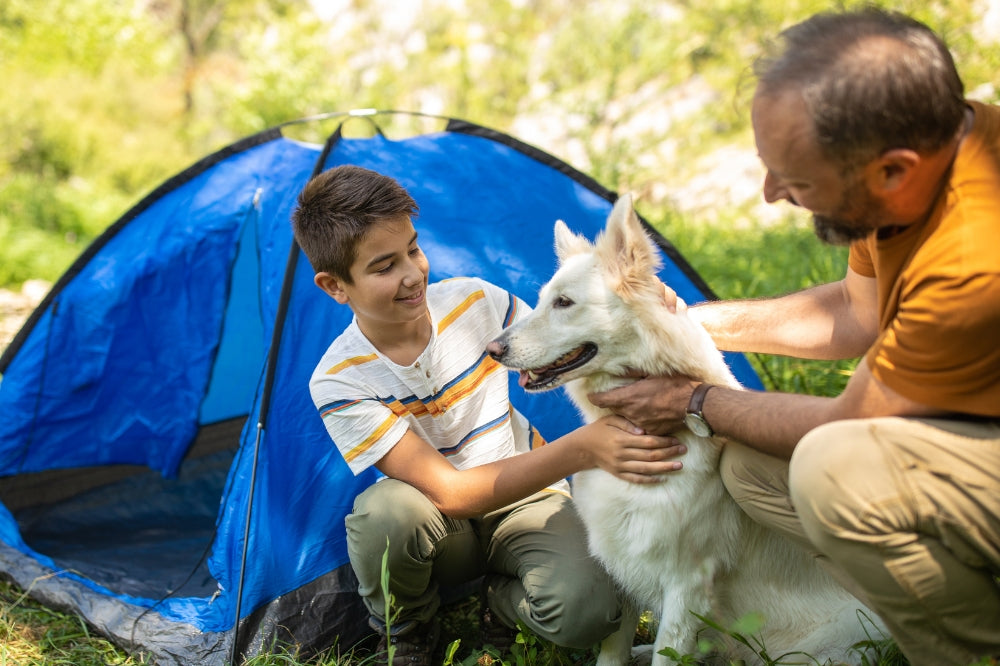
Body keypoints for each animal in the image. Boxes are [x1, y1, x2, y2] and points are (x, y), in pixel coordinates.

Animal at [488, 196, 880, 664]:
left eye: (564, 303)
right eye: (543, 300)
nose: (492, 349)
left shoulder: (687, 585)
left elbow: (668, 652)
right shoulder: (623, 567)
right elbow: (613, 651)